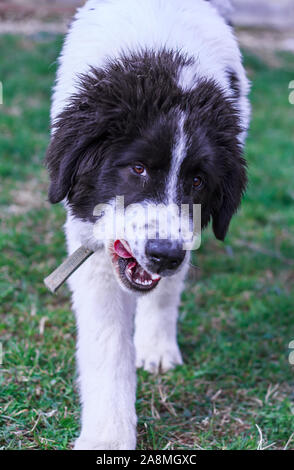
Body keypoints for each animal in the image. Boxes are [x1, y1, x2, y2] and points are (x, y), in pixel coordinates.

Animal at [45, 0, 250, 450]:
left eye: (198, 180)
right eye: (137, 168)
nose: (164, 255)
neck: (165, 64)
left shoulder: (187, 230)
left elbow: (166, 291)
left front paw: (155, 346)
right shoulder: (90, 237)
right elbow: (108, 343)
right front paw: (108, 435)